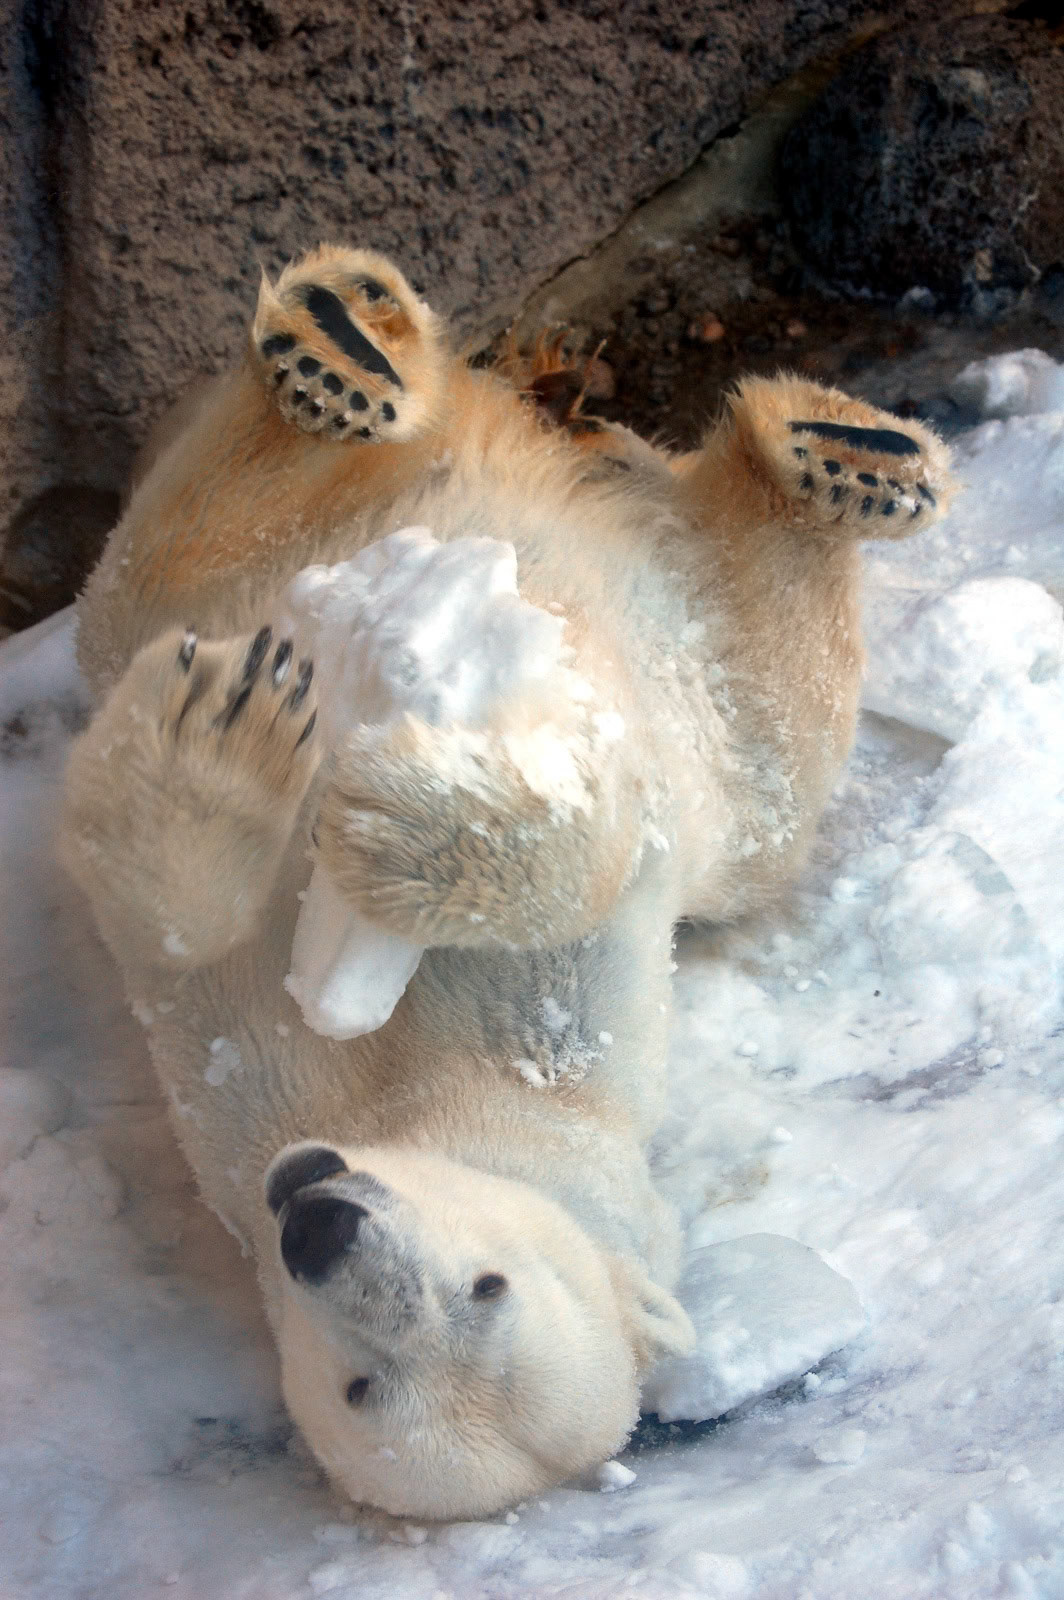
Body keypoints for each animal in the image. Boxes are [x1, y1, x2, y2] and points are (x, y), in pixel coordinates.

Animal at [60, 244, 954, 1519]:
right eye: (363, 1384)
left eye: (482, 1295)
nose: (319, 1225)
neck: (412, 1110)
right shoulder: (245, 1114)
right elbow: (181, 931)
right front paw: (242, 734)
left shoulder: (506, 1057)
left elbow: (611, 842)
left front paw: (377, 824)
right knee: (164, 551)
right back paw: (342, 344)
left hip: (709, 698)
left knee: (766, 744)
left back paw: (826, 460)